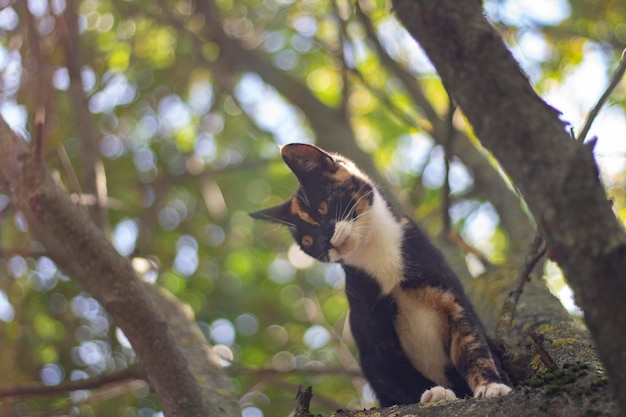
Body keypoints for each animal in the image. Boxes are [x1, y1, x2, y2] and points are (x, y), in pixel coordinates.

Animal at [250, 144, 512, 406]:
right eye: (307, 242)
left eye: (322, 208)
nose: (325, 242)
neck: (376, 255)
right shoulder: (371, 332)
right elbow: (395, 371)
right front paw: (433, 392)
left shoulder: (452, 300)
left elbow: (473, 346)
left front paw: (491, 386)